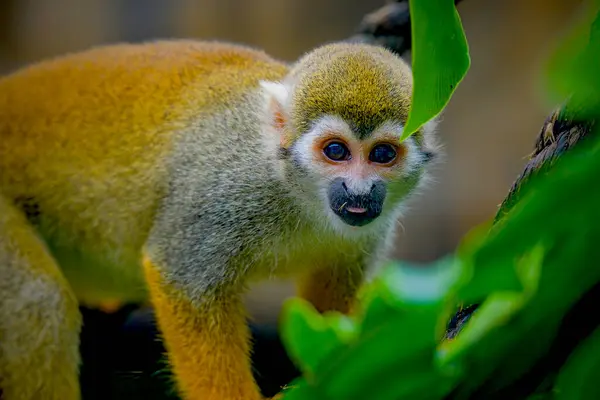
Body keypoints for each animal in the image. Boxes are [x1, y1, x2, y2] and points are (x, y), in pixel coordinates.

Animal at [0, 39, 438, 398]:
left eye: (382, 154)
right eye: (336, 151)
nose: (358, 191)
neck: (297, 192)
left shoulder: (370, 228)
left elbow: (328, 305)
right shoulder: (226, 188)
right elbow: (183, 281)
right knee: (39, 300)